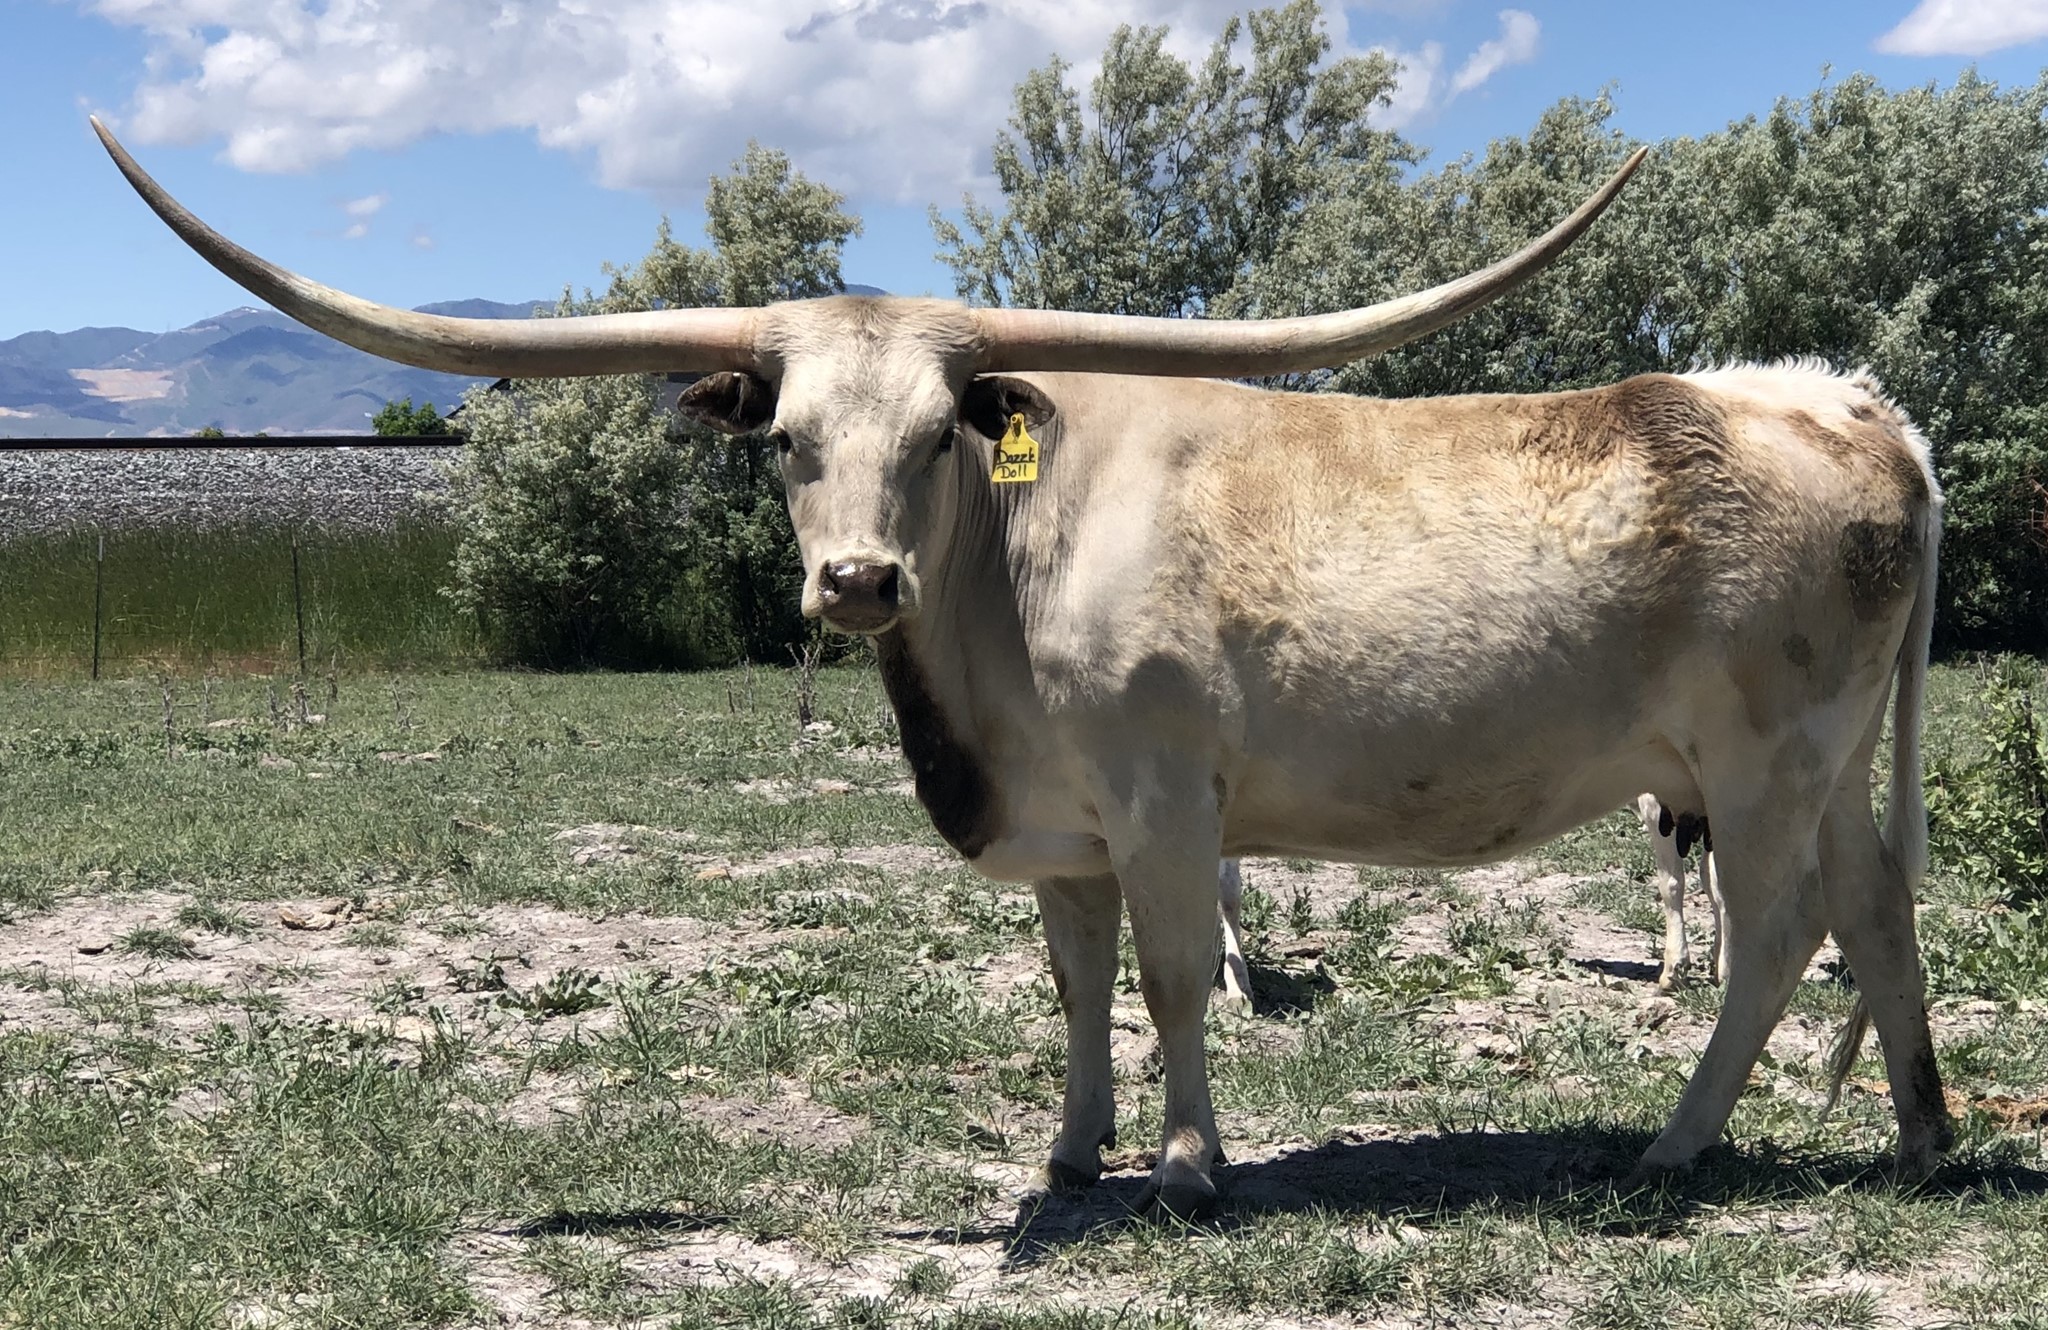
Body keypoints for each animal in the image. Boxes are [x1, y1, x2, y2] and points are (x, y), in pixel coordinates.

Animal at [92, 118, 1951, 1219]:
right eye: (785, 441)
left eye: (935, 434)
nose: (854, 578)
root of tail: (1833, 397)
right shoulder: (1063, 831)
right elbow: (1074, 984)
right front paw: (1074, 1147)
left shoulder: (1164, 798)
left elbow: (1178, 977)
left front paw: (1190, 1164)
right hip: (1825, 762)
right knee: (1876, 905)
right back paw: (1925, 1133)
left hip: (1755, 769)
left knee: (1780, 934)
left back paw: (1673, 1144)